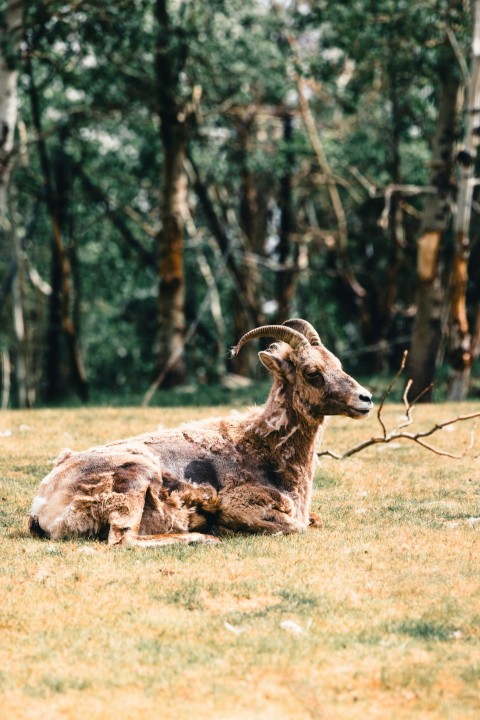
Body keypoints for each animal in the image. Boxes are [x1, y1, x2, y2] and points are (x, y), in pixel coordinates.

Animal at [29, 320, 372, 544]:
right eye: (312, 372)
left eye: (338, 364)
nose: (365, 398)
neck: (262, 447)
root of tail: (42, 506)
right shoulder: (239, 503)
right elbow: (294, 526)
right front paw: (221, 528)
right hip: (136, 477)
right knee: (123, 539)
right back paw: (201, 537)